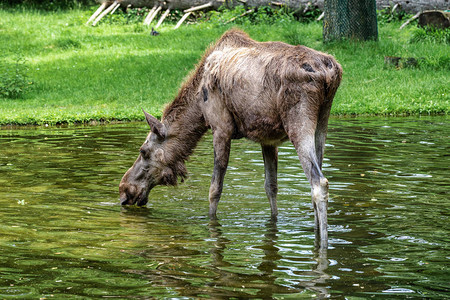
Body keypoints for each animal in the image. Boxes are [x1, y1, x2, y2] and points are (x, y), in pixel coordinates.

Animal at [119, 28, 342, 248]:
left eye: (143, 151)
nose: (124, 190)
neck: (197, 106)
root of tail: (331, 72)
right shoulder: (268, 140)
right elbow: (271, 187)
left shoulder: (220, 128)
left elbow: (214, 189)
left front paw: (211, 225)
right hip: (323, 121)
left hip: (297, 120)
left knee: (319, 183)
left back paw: (323, 246)